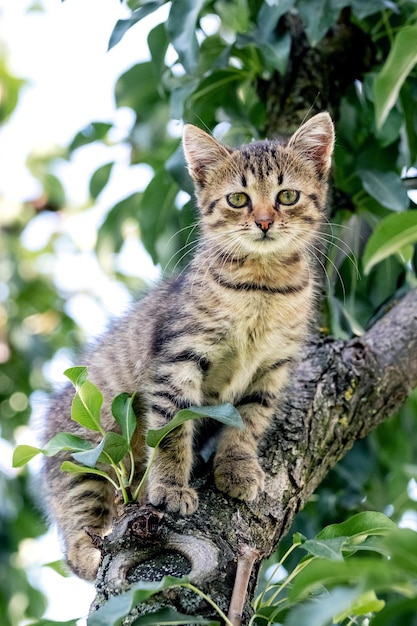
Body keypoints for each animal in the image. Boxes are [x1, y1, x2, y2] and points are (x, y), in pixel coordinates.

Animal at [42, 111, 334, 576]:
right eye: (238, 199)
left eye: (287, 196)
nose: (264, 222)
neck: (262, 286)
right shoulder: (177, 358)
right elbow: (172, 428)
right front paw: (169, 486)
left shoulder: (271, 369)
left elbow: (248, 421)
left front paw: (237, 468)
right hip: (84, 458)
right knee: (79, 538)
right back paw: (95, 547)